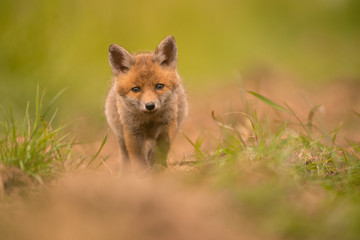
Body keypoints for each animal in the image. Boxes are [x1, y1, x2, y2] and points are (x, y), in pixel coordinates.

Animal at [105, 36, 187, 169]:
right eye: (136, 89)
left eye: (159, 86)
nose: (150, 106)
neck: (149, 121)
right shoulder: (132, 131)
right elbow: (137, 157)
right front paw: (141, 171)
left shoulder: (167, 126)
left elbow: (160, 150)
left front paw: (157, 167)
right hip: (120, 135)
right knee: (125, 155)